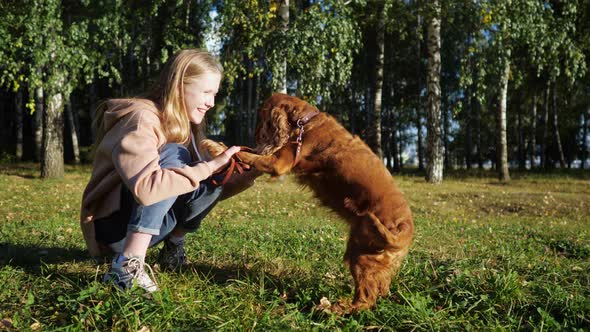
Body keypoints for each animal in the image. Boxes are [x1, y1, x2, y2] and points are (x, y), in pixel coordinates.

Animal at [201, 93, 414, 314]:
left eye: (262, 117)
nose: (257, 135)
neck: (306, 122)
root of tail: (405, 227)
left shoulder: (278, 163)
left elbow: (243, 153)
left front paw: (216, 146)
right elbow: (247, 153)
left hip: (361, 255)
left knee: (366, 298)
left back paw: (334, 309)